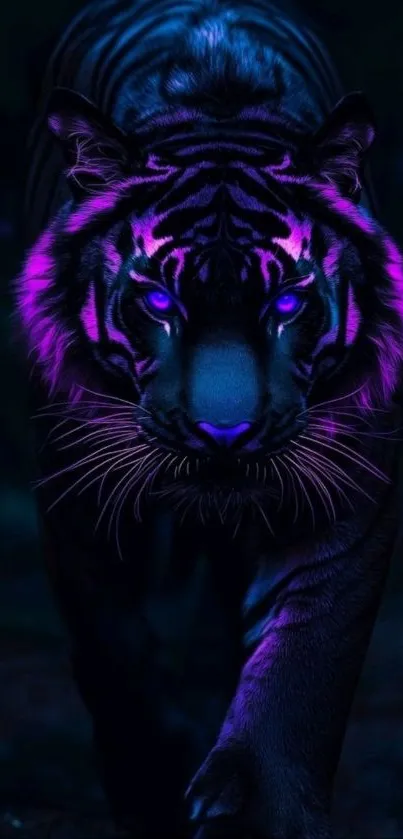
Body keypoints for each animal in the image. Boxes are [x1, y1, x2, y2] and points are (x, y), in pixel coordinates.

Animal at [15, 0, 403, 837]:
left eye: (286, 300)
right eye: (158, 299)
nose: (223, 433)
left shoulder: (347, 484)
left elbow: (306, 652)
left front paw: (263, 807)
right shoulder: (77, 494)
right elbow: (113, 644)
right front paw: (151, 779)